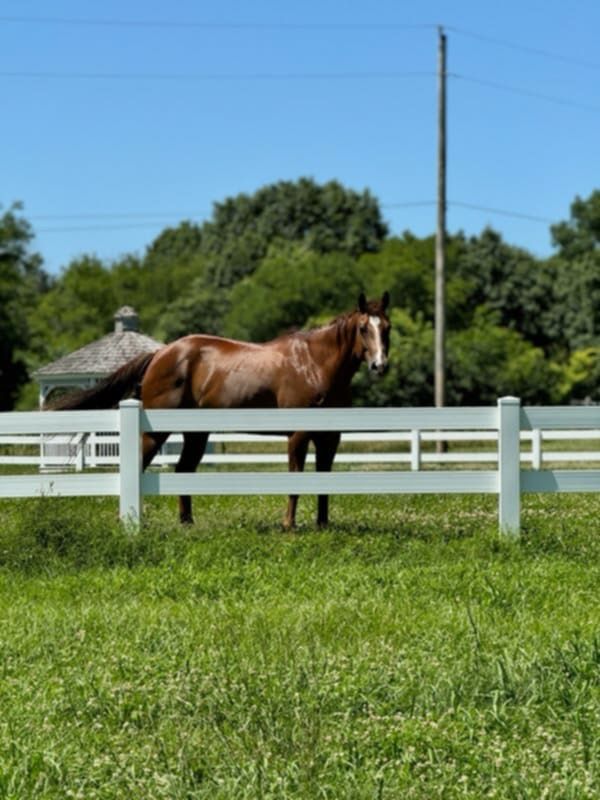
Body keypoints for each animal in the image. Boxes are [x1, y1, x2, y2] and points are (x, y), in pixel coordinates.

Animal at [49, 291, 391, 528]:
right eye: (363, 328)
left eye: (386, 327)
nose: (380, 365)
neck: (314, 364)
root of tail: (161, 353)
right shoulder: (298, 435)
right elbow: (296, 480)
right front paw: (289, 525)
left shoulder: (330, 437)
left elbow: (324, 483)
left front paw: (322, 525)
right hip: (157, 433)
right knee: (141, 465)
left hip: (196, 434)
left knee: (183, 470)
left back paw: (187, 523)